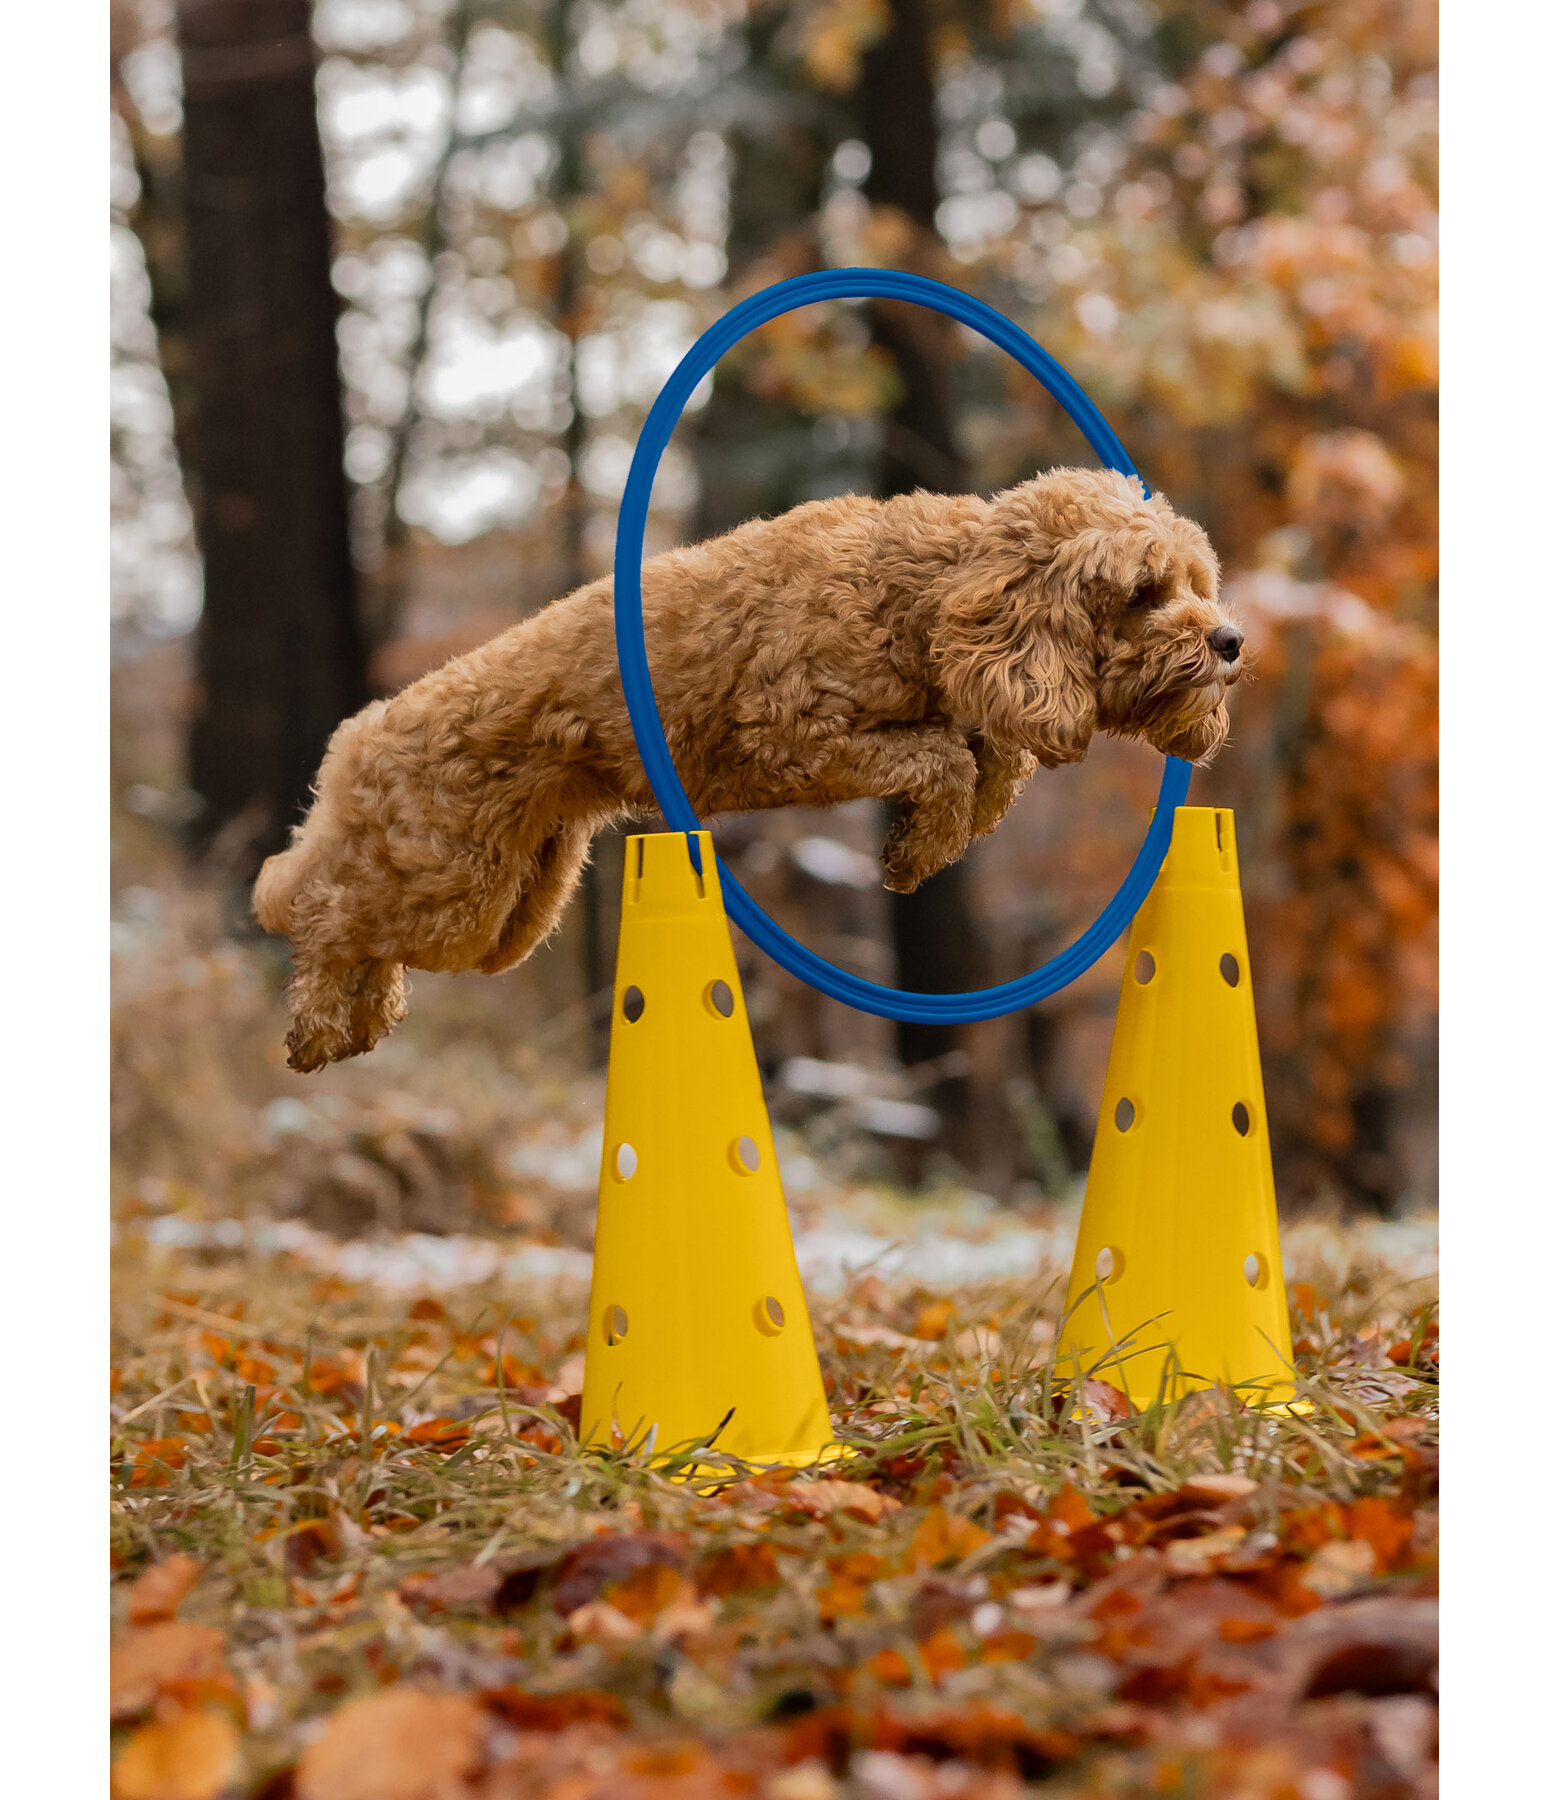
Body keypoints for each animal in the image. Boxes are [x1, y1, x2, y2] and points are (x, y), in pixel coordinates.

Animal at [257, 471, 1245, 1072]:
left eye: (1199, 584)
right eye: (1145, 593)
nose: (1233, 640)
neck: (925, 592)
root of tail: (366, 733)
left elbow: (989, 762)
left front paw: (921, 846)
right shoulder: (794, 738)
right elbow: (944, 760)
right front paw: (917, 847)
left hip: (510, 908)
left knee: (359, 929)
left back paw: (359, 1023)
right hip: (452, 887)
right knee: (324, 913)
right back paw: (314, 1026)